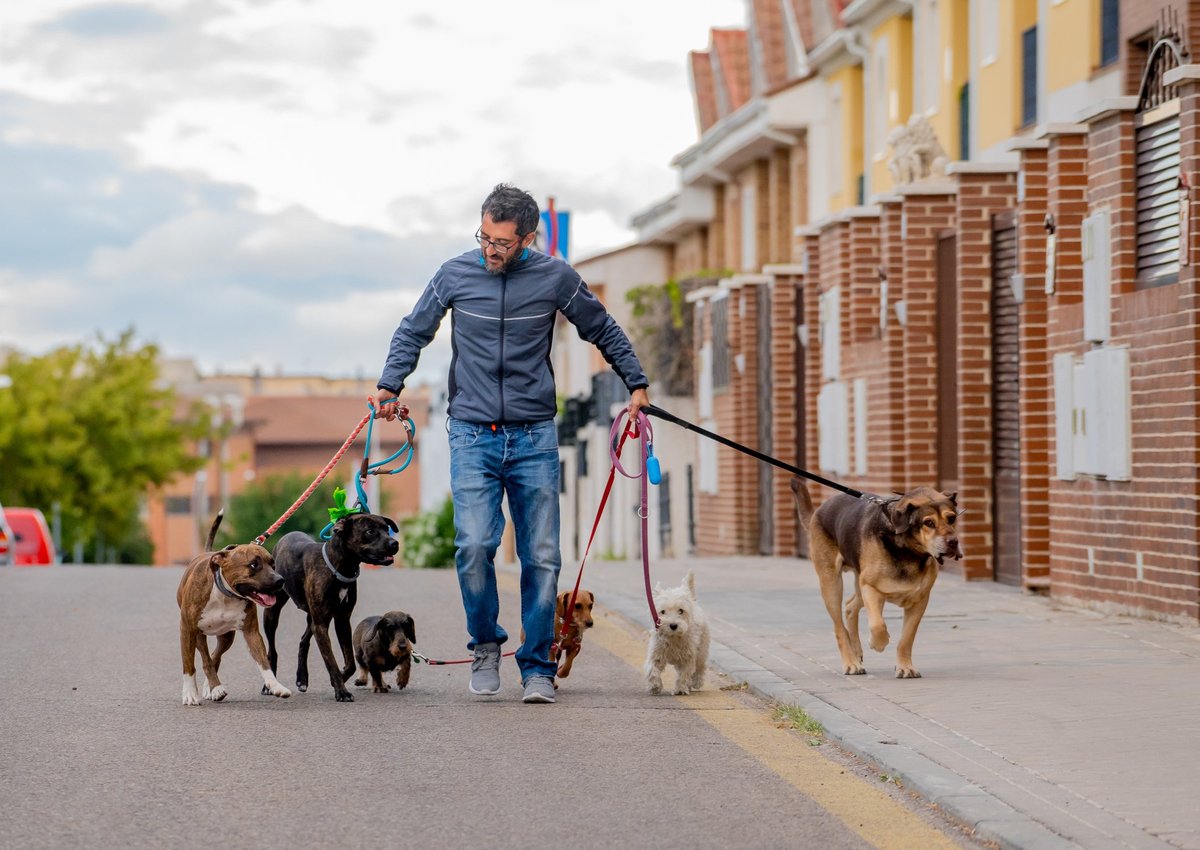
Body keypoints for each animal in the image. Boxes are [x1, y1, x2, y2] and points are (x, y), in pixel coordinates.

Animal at [176, 511, 291, 705]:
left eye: (273, 564)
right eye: (254, 565)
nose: (280, 580)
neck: (225, 594)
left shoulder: (252, 633)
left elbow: (264, 663)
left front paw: (276, 686)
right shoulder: (188, 630)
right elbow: (189, 665)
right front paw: (190, 694)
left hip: (226, 637)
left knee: (214, 656)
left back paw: (212, 688)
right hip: (198, 635)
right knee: (206, 658)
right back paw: (214, 687)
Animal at [262, 511, 398, 705]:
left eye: (386, 529)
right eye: (370, 531)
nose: (394, 543)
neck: (338, 566)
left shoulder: (341, 620)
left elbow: (350, 663)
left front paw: (338, 680)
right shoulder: (322, 624)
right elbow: (331, 661)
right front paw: (341, 691)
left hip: (313, 618)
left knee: (303, 641)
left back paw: (302, 679)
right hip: (273, 613)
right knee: (272, 651)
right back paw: (269, 685)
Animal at [648, 566, 710, 696]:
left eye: (681, 611)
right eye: (662, 611)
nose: (673, 625)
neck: (673, 637)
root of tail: (693, 601)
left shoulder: (688, 657)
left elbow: (684, 674)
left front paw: (681, 689)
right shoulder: (656, 654)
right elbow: (652, 670)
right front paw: (655, 686)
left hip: (702, 649)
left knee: (700, 666)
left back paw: (696, 682)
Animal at [787, 477, 964, 677]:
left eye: (952, 518)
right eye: (929, 523)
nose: (953, 542)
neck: (907, 549)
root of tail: (818, 511)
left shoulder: (920, 600)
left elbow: (907, 638)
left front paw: (905, 666)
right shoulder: (871, 589)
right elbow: (878, 625)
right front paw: (878, 643)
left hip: (859, 581)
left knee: (850, 606)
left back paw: (856, 651)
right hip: (832, 583)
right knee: (839, 626)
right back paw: (851, 662)